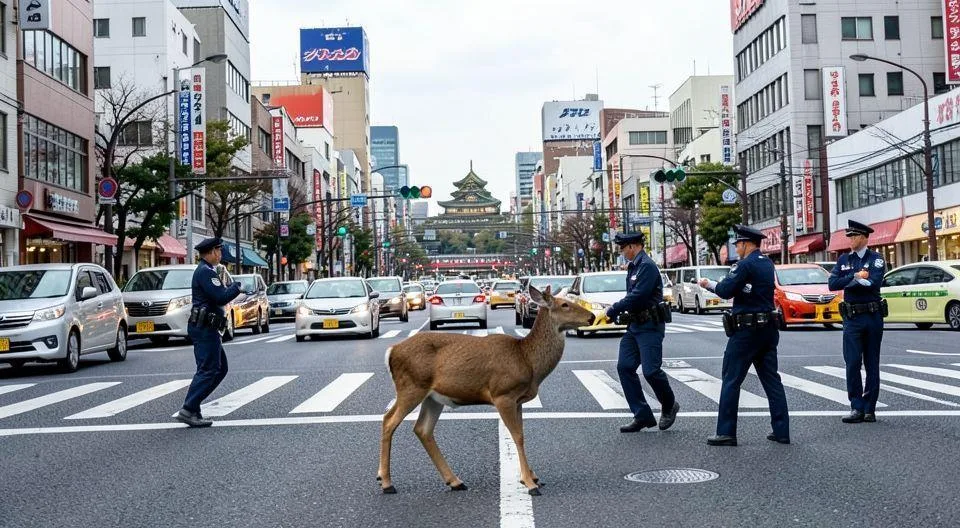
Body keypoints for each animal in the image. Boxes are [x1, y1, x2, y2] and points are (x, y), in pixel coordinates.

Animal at [377, 285, 595, 496]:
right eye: (565, 304)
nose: (592, 317)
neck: (527, 360)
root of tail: (391, 352)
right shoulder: (503, 393)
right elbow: (517, 436)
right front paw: (529, 482)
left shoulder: (518, 400)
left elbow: (522, 434)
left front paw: (533, 477)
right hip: (411, 386)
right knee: (389, 420)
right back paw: (386, 482)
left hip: (432, 397)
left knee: (422, 429)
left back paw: (455, 481)